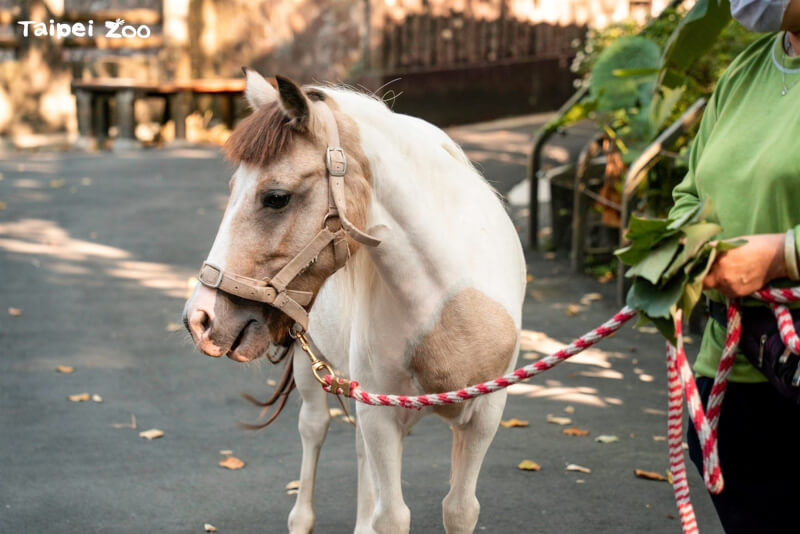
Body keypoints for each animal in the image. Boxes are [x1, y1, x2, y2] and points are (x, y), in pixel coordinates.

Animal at [183, 69, 526, 534]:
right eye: (233, 188)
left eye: (276, 197)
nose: (200, 319)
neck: (449, 306)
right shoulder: (381, 415)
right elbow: (393, 516)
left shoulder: (485, 414)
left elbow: (459, 509)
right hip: (311, 368)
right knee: (313, 431)